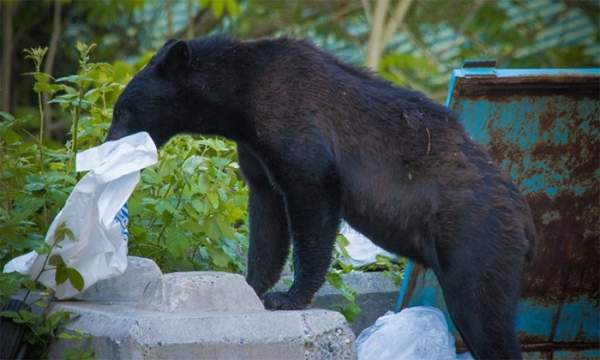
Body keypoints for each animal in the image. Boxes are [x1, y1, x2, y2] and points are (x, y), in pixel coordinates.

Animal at [106, 35, 536, 358]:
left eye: (122, 111)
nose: (108, 145)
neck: (241, 94)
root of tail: (525, 221)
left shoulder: (294, 123)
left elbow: (311, 199)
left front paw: (289, 297)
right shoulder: (256, 152)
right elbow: (267, 217)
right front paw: (253, 286)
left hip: (474, 241)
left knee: (483, 314)